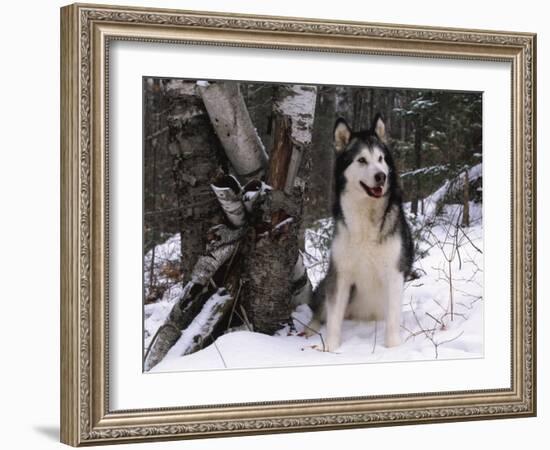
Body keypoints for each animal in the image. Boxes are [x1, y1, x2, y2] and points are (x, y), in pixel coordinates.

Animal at [310, 113, 414, 352]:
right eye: (362, 160)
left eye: (381, 159)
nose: (381, 176)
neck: (366, 217)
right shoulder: (340, 273)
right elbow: (333, 317)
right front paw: (330, 347)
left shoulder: (394, 272)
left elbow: (393, 319)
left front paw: (393, 347)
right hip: (328, 285)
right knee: (319, 312)